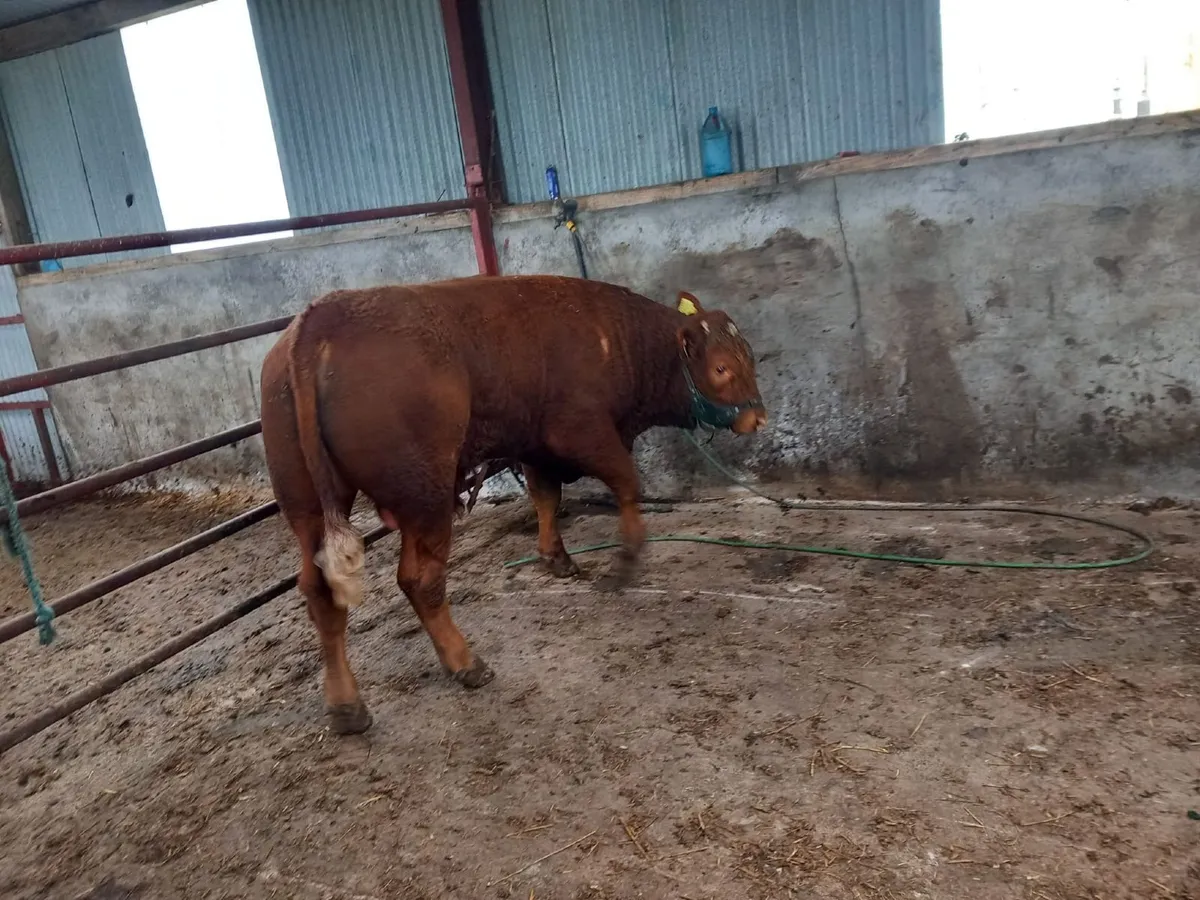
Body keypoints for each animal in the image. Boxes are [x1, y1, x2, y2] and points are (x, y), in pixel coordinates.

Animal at [260, 274, 766, 734]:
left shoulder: (535, 444)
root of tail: (319, 319)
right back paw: (466, 663)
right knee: (421, 580)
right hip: (425, 496)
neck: (614, 334)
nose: (757, 418)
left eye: (750, 357)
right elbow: (626, 482)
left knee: (321, 592)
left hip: (306, 505)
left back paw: (347, 706)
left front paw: (556, 557)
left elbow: (545, 497)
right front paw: (625, 561)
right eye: (721, 368)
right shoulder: (582, 430)